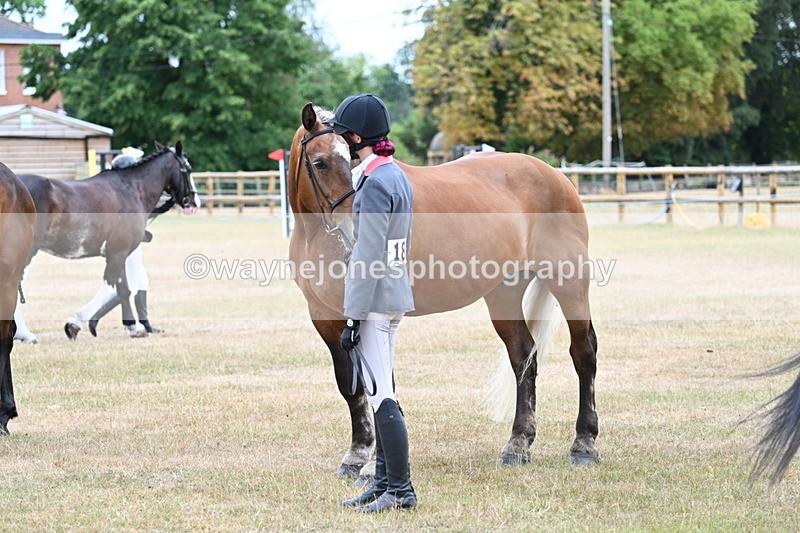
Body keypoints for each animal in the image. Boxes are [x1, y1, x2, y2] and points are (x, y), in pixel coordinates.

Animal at [14, 142, 199, 343]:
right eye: (188, 168)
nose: (194, 202)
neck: (132, 190)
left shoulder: (121, 254)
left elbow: (124, 289)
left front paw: (134, 327)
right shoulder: (117, 253)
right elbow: (108, 288)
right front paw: (74, 324)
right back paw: (24, 334)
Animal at [288, 103, 599, 478]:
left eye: (351, 158)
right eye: (320, 162)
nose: (355, 227)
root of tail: (554, 174)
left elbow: (381, 385)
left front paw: (373, 465)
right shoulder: (325, 317)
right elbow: (351, 383)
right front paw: (357, 454)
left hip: (570, 282)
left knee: (583, 354)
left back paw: (584, 444)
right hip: (504, 294)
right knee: (523, 357)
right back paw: (517, 445)